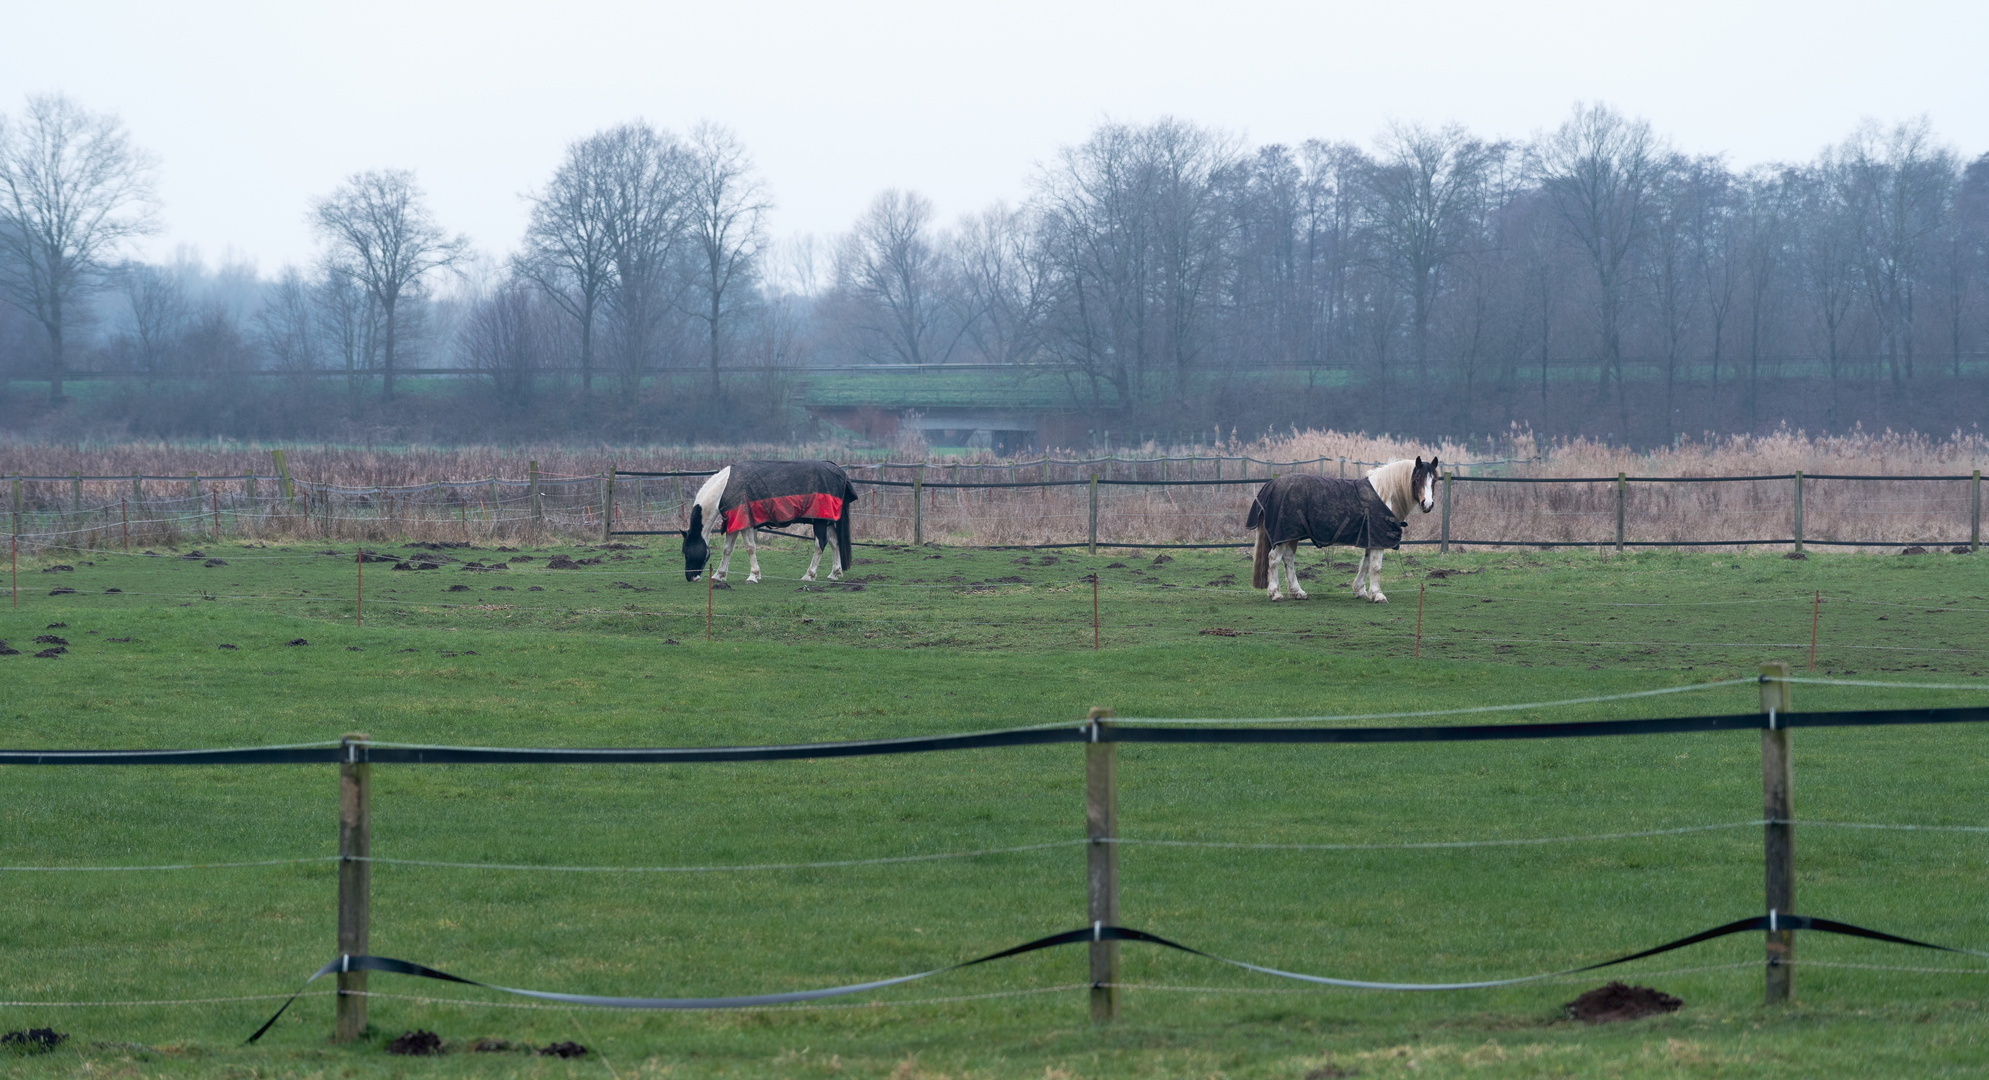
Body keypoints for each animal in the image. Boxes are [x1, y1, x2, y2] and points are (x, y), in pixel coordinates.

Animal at [684, 461, 855, 588]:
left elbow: (750, 548)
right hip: (828, 520)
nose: (690, 577)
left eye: (687, 552)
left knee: (821, 544)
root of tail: (839, 472)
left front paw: (753, 575)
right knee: (834, 542)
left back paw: (809, 574)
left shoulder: (745, 523)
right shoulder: (734, 522)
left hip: (819, 521)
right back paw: (834, 573)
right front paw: (719, 575)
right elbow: (727, 549)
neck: (724, 488)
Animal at [1249, 457, 1440, 604]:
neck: (1384, 493)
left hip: (1291, 535)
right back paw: (1275, 593)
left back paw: (1298, 592)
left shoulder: (1370, 538)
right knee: (1274, 559)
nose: (1428, 504)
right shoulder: (1377, 539)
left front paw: (1360, 591)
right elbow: (1376, 567)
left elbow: (1365, 563)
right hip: (1283, 535)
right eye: (1417, 479)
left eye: (1434, 480)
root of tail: (1271, 484)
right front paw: (1377, 595)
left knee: (1288, 558)